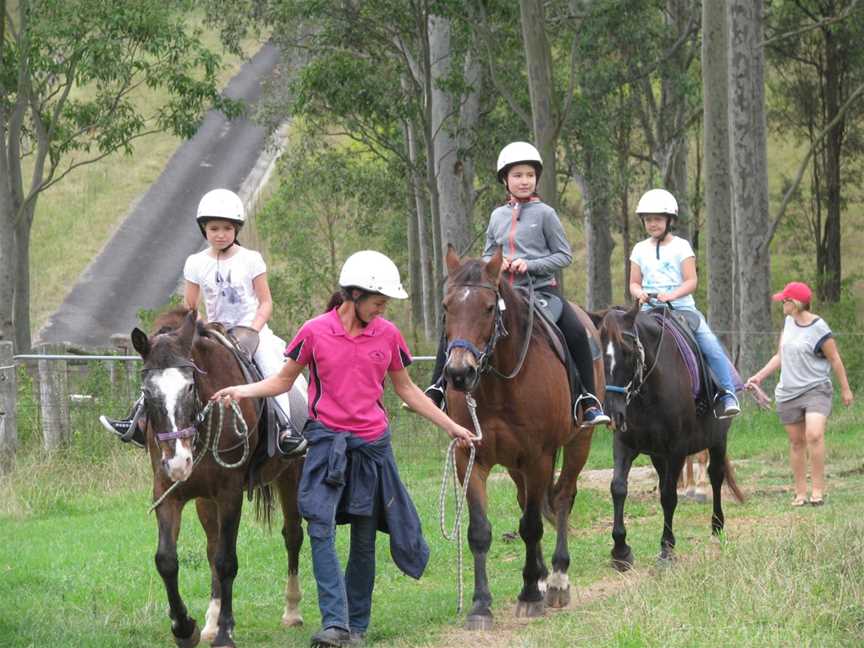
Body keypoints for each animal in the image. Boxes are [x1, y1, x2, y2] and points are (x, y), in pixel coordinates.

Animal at [128, 308, 304, 648]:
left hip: (291, 476)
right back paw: (210, 622)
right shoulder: (168, 492)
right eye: (146, 392)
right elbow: (167, 560)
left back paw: (291, 611)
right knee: (211, 548)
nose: (179, 462)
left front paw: (225, 632)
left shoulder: (230, 494)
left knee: (292, 536)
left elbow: (226, 562)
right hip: (204, 501)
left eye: (190, 387)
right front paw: (186, 628)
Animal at [438, 246, 600, 632]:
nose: (459, 373)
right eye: (447, 306)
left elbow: (531, 525)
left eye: (487, 307)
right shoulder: (470, 457)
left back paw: (555, 580)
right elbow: (480, 531)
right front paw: (481, 605)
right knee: (531, 499)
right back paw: (540, 576)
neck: (499, 385)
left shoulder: (538, 456)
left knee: (562, 498)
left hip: (578, 443)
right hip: (515, 466)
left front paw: (529, 596)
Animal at [592, 302, 744, 568]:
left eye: (627, 352)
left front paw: (666, 549)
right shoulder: (625, 445)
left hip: (718, 441)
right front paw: (620, 550)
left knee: (716, 476)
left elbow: (669, 496)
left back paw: (717, 527)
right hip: (657, 455)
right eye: (601, 355)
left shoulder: (677, 450)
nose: (613, 414)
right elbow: (618, 488)